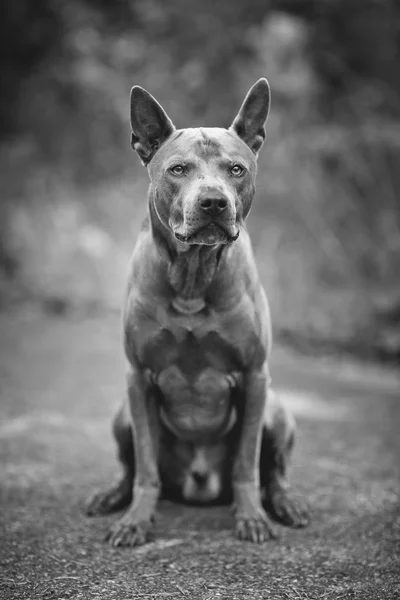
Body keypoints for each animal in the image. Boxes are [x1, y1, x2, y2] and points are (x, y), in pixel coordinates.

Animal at [85, 77, 310, 548]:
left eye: (236, 169)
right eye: (178, 169)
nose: (212, 202)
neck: (192, 276)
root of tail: (199, 486)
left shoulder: (254, 377)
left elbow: (247, 463)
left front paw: (251, 517)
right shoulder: (138, 379)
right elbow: (145, 466)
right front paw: (136, 519)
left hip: (277, 409)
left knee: (274, 470)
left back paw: (284, 503)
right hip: (122, 415)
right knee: (129, 466)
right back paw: (112, 495)